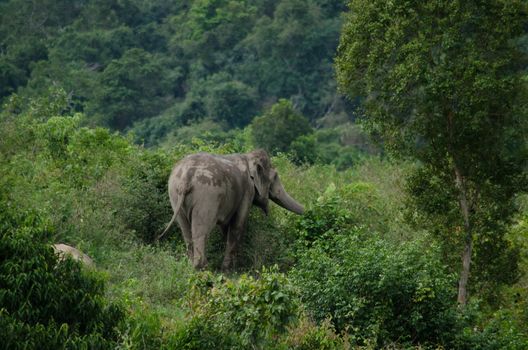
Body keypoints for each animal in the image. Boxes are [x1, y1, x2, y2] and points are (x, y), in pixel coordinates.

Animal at [157, 149, 304, 270]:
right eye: (275, 177)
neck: (247, 157)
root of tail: (186, 176)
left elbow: (226, 226)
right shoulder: (247, 191)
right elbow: (238, 224)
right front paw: (228, 270)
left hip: (174, 195)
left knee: (186, 231)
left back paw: (190, 266)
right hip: (207, 196)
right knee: (201, 231)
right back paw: (203, 268)